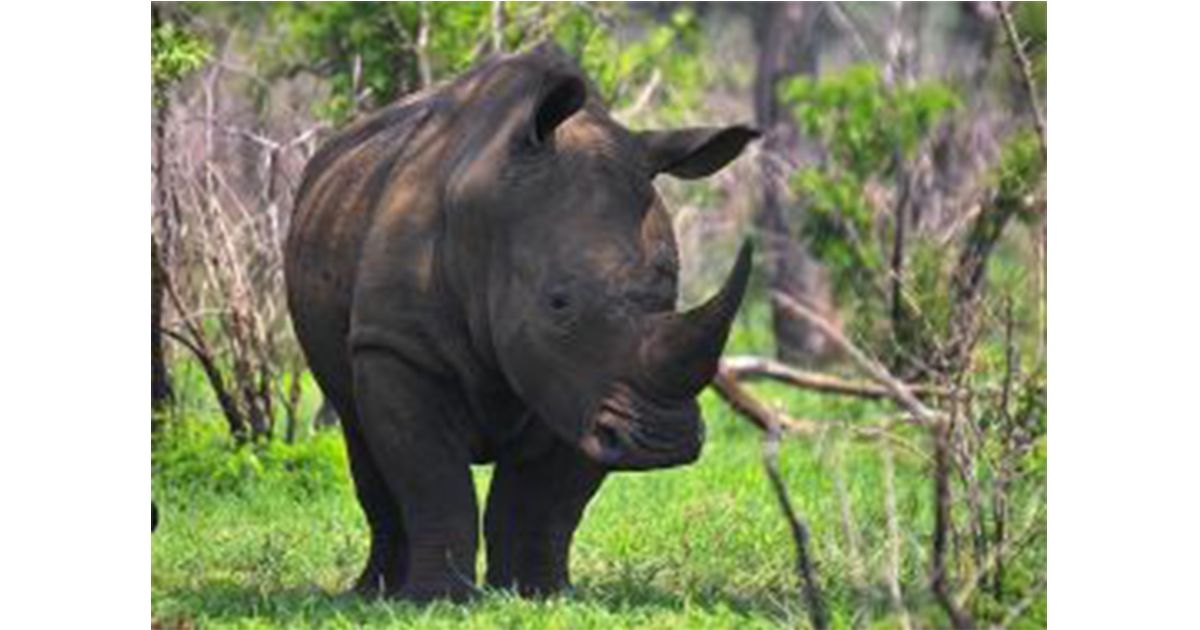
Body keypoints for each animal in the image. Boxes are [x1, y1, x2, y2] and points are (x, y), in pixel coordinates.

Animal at [286, 43, 758, 602]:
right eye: (558, 303)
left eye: (671, 290)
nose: (664, 442)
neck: (490, 213)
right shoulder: (399, 346)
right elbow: (432, 480)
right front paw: (437, 600)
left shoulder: (583, 387)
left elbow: (544, 502)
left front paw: (536, 593)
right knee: (357, 430)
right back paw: (371, 593)